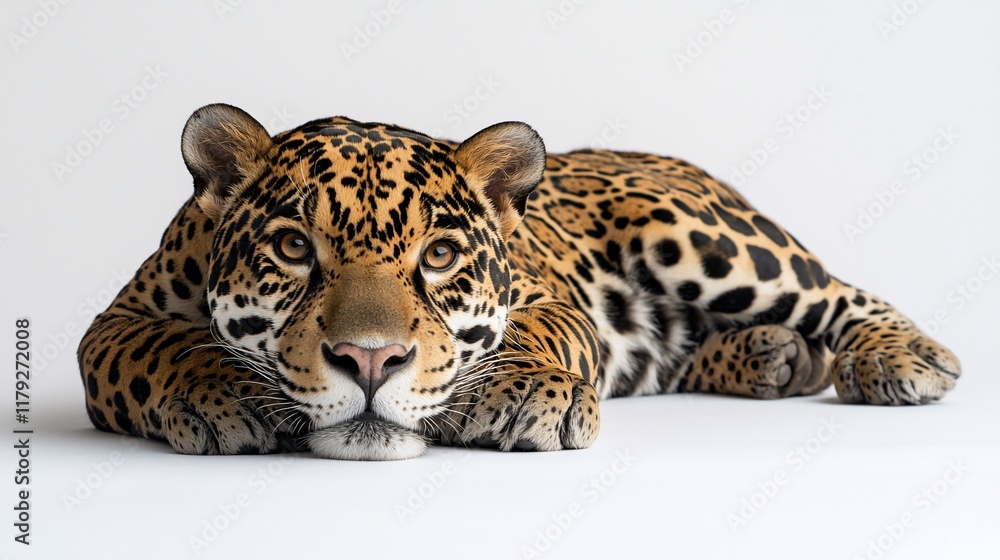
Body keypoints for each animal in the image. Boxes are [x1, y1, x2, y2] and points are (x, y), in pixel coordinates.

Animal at [77, 103, 962, 460]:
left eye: (438, 257)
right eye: (294, 248)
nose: (370, 361)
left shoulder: (550, 297)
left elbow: (540, 333)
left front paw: (528, 390)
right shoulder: (112, 324)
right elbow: (155, 351)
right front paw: (218, 392)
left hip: (701, 236)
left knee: (840, 291)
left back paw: (901, 359)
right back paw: (778, 358)